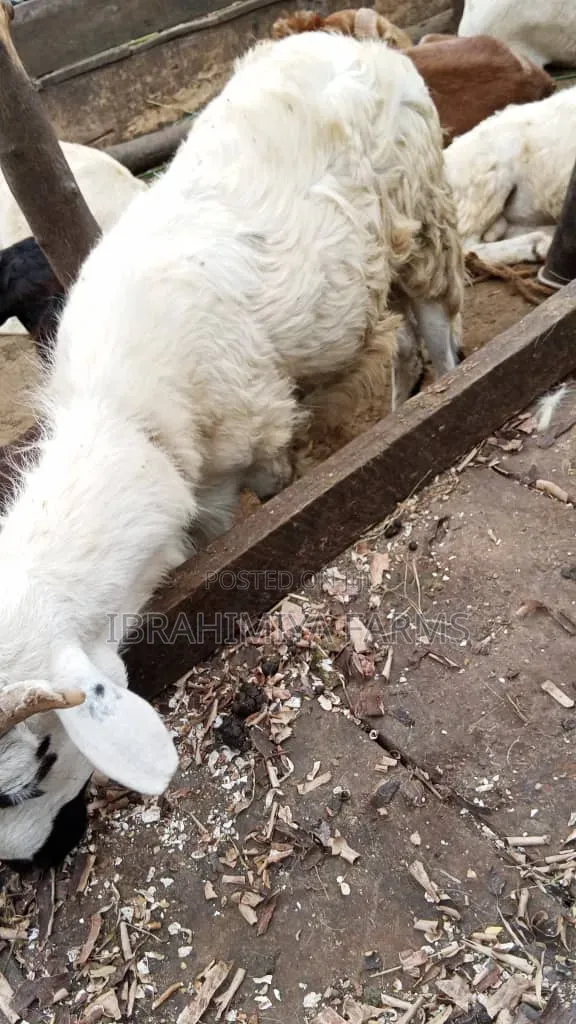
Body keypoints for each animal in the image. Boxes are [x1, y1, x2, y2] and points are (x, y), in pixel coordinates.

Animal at [0, 30, 464, 868]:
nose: (33, 864)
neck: (119, 418)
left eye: (32, 771)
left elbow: (245, 518)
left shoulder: (247, 448)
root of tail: (359, 38)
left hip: (421, 211)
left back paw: (442, 385)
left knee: (436, 318)